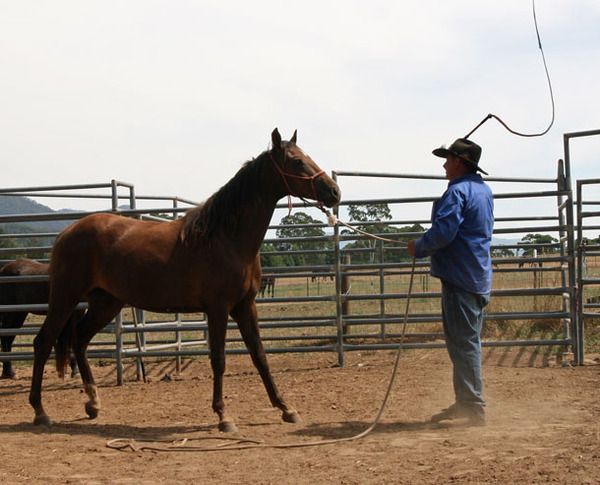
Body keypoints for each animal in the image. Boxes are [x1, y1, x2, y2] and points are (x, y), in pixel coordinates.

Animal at [29, 128, 341, 431]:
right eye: (297, 161)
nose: (334, 191)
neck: (226, 238)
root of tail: (66, 233)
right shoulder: (218, 309)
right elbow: (219, 359)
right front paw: (223, 415)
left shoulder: (245, 305)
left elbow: (260, 356)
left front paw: (286, 408)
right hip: (65, 298)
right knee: (43, 342)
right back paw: (41, 412)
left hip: (106, 303)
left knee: (80, 339)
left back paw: (93, 403)